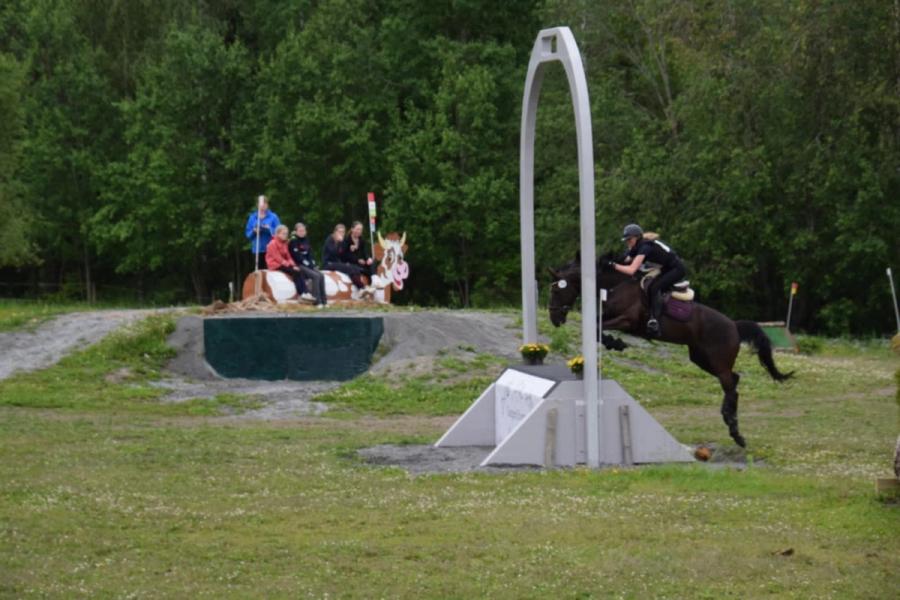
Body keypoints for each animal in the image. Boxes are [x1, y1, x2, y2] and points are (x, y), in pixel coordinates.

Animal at [548, 252, 793, 447]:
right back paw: (729, 420)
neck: (615, 285)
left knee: (731, 386)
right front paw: (614, 343)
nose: (554, 319)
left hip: (717, 360)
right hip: (701, 358)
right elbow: (596, 325)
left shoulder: (627, 320)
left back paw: (735, 431)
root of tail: (734, 325)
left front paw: (616, 343)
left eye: (557, 292)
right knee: (734, 379)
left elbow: (598, 326)